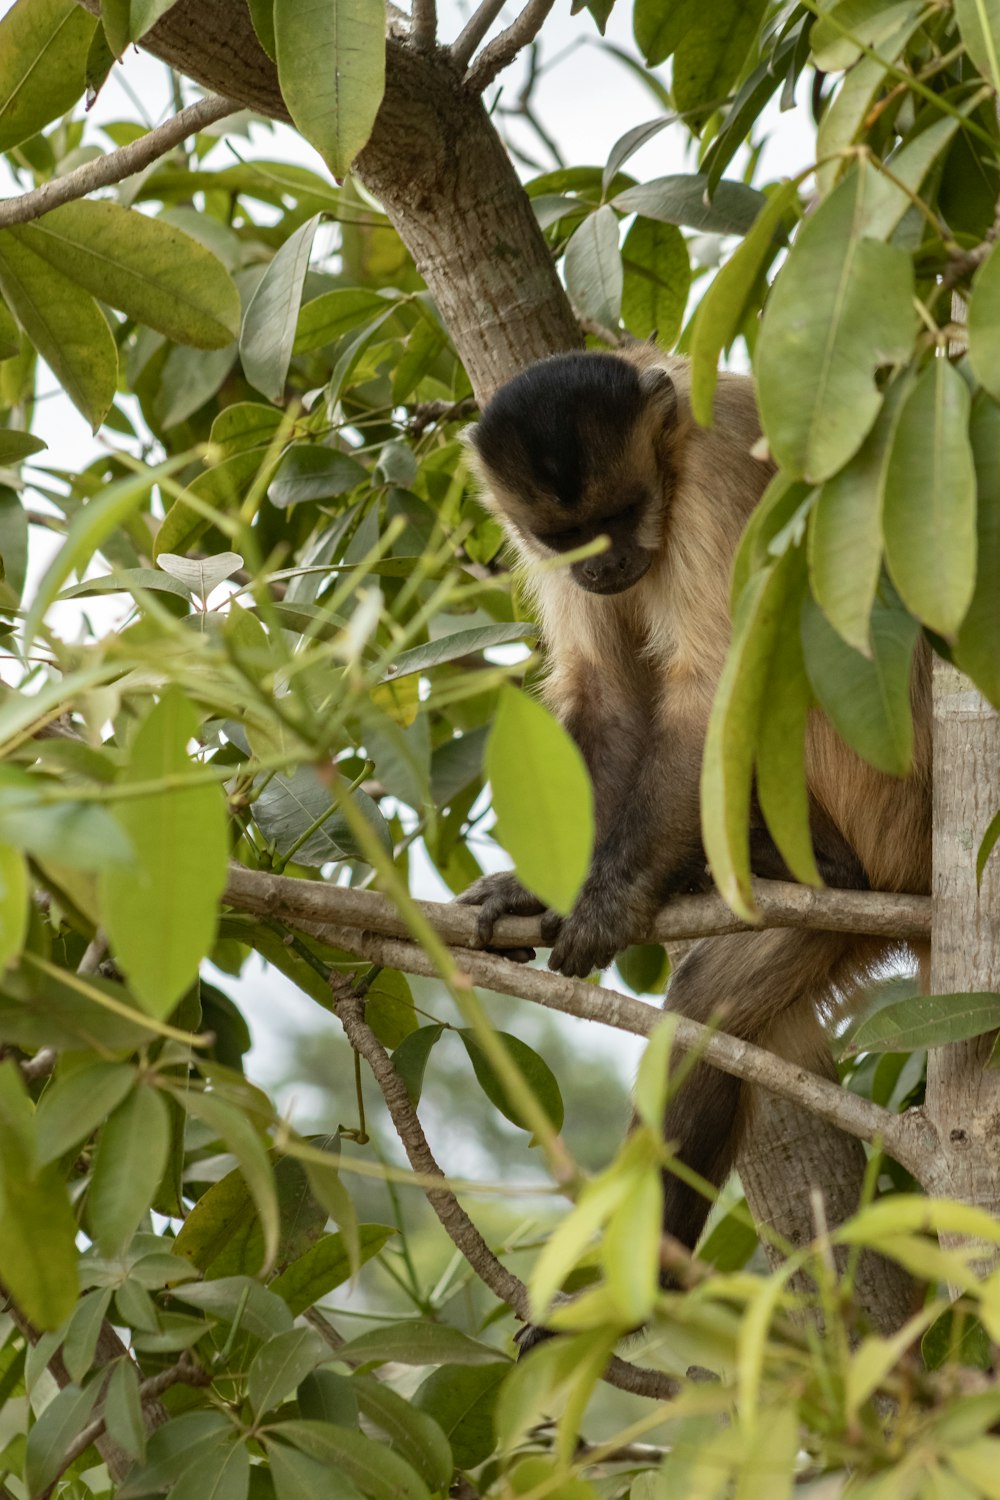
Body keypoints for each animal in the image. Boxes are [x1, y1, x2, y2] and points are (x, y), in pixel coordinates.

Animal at [458, 343, 935, 1290]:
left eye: (620, 516)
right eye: (571, 539)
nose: (603, 565)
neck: (671, 465)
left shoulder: (717, 474)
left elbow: (713, 684)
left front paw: (611, 897)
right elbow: (606, 693)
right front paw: (536, 891)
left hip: (884, 791)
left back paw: (798, 863)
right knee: (706, 1013)